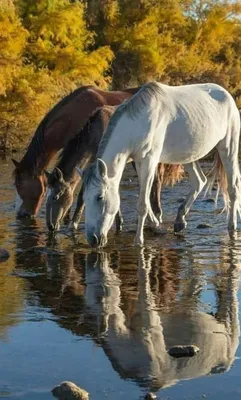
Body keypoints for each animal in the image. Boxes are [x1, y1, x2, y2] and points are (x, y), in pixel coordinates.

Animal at [79, 81, 241, 247]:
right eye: (84, 198)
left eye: (99, 197)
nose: (93, 239)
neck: (137, 124)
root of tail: (226, 94)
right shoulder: (138, 162)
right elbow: (146, 200)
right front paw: (156, 224)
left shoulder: (149, 161)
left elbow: (143, 204)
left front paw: (138, 241)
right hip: (189, 156)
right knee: (199, 181)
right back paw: (180, 220)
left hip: (228, 147)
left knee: (233, 187)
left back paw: (232, 226)